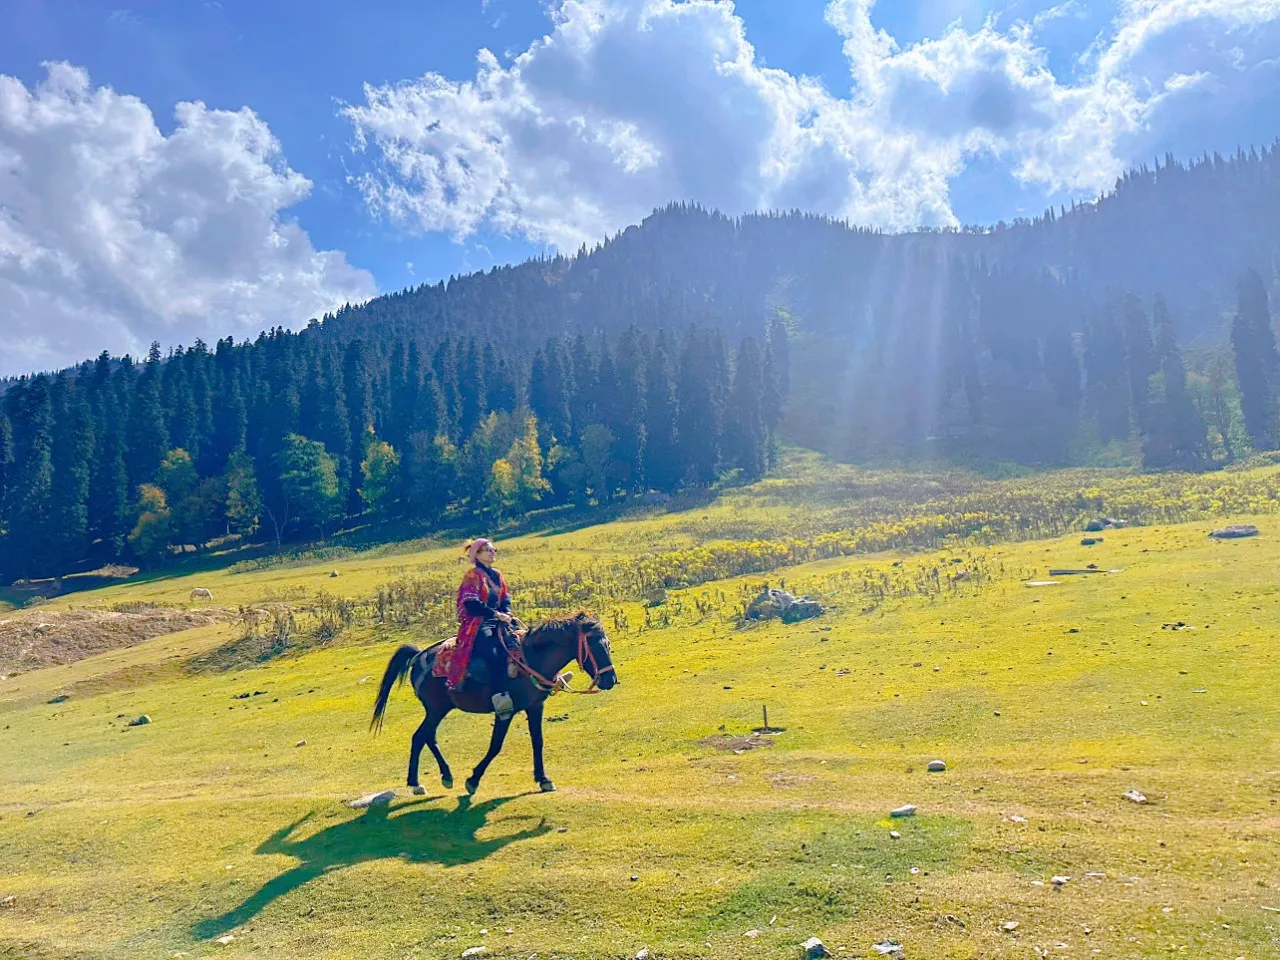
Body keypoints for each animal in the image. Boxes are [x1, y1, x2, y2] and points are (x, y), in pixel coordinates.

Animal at [368, 616, 616, 798]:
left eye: (608, 645)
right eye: (595, 647)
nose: (610, 680)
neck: (531, 660)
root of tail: (419, 655)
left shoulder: (535, 706)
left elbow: (538, 741)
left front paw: (544, 779)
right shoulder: (505, 712)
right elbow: (496, 745)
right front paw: (473, 781)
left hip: (439, 709)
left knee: (427, 736)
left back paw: (445, 776)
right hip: (437, 708)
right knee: (420, 736)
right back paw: (416, 783)